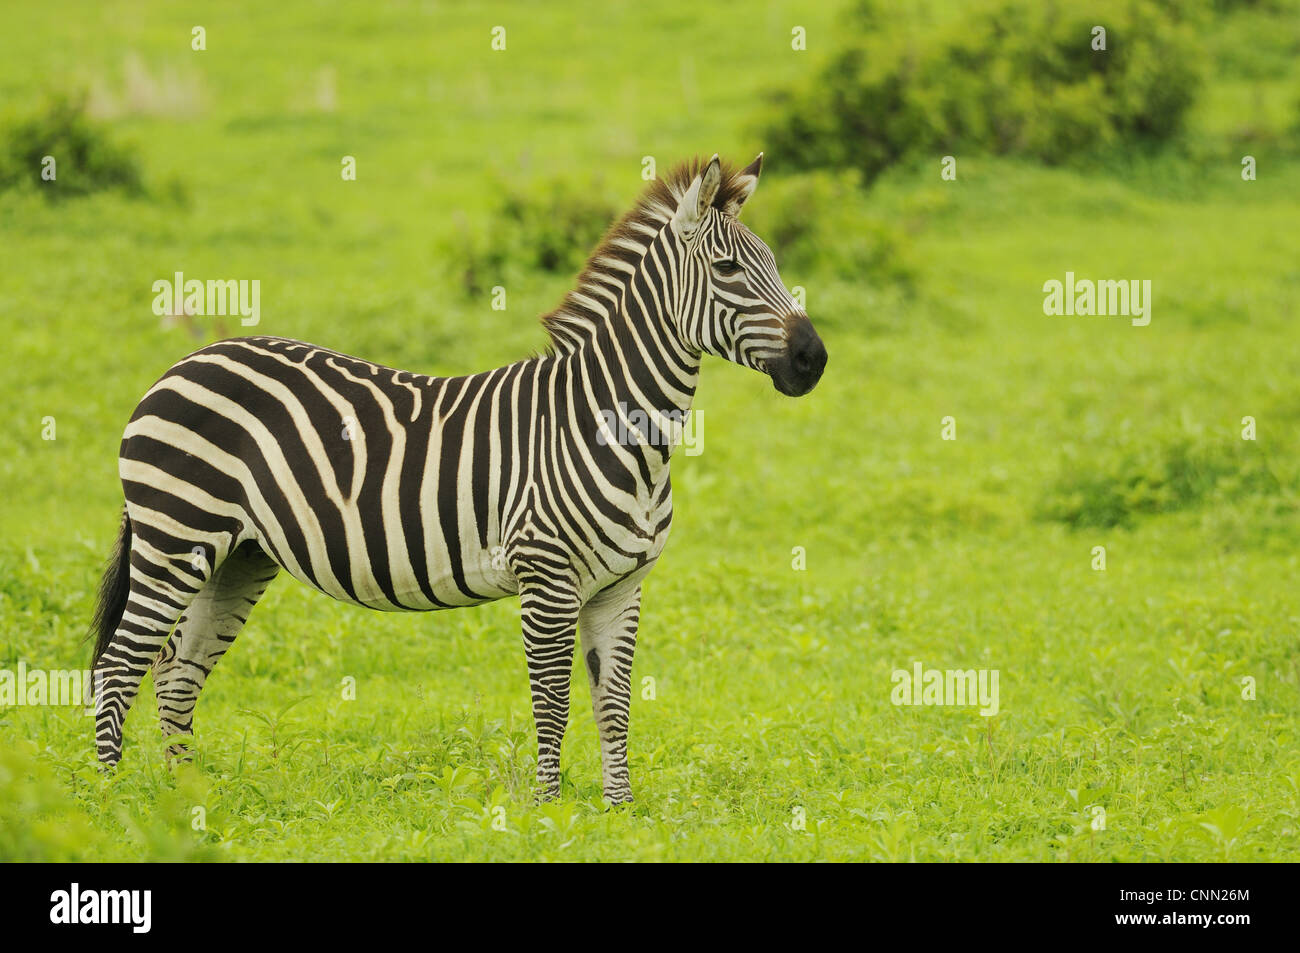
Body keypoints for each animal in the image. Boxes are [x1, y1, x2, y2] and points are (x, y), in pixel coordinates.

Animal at [91, 152, 826, 800]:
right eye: (728, 268)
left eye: (776, 264)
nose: (813, 360)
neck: (611, 425)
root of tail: (183, 363)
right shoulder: (547, 579)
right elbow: (553, 700)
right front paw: (550, 809)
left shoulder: (622, 587)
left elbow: (613, 705)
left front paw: (620, 813)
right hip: (174, 537)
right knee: (118, 665)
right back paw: (110, 800)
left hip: (237, 555)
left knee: (175, 673)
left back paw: (189, 798)